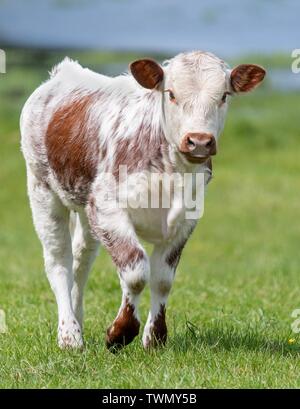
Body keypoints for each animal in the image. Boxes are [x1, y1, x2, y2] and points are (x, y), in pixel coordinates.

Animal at [20, 51, 264, 350]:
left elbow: (163, 279)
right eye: (171, 94)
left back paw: (78, 320)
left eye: (224, 96)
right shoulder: (107, 207)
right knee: (58, 261)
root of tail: (63, 72)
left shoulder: (185, 219)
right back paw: (69, 335)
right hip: (42, 189)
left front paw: (155, 337)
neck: (170, 175)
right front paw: (120, 332)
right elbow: (136, 271)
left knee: (82, 259)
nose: (199, 141)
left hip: (84, 207)